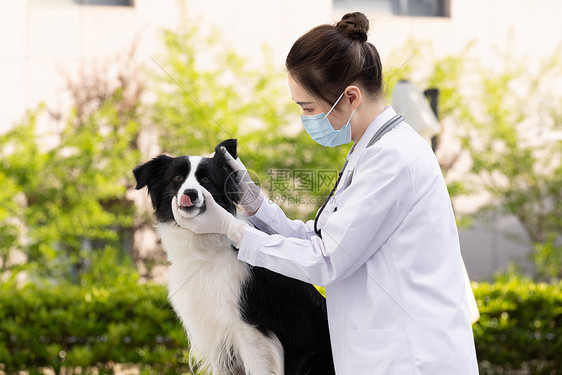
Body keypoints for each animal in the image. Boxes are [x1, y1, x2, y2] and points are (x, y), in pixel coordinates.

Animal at [132, 139, 332, 375]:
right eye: (177, 178)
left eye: (206, 180)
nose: (190, 193)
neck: (205, 252)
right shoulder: (216, 334)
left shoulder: (251, 331)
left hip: (311, 358)